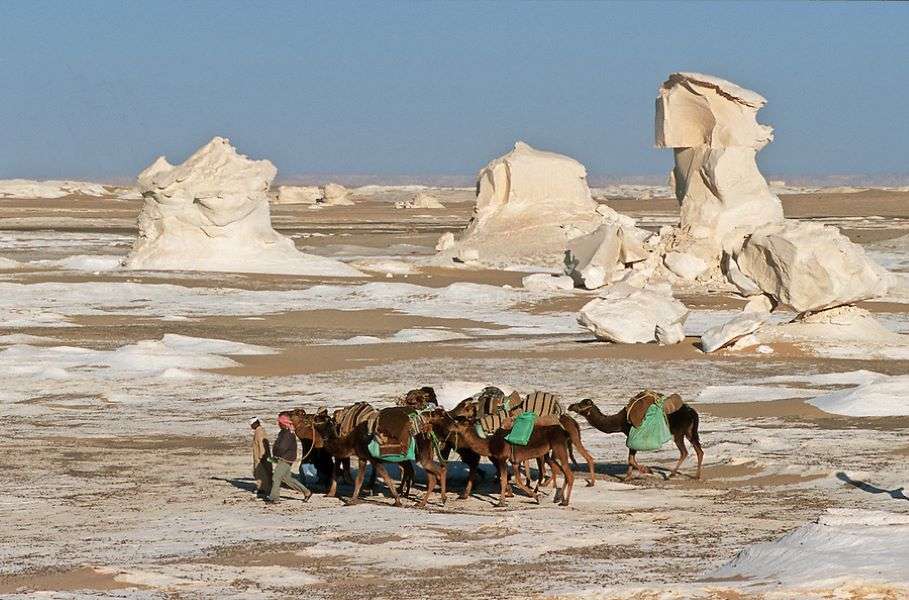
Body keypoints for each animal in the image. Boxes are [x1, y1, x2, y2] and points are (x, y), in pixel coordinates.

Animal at [442, 420, 576, 508]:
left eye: (457, 423)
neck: (489, 445)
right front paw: (535, 497)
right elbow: (517, 480)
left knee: (569, 473)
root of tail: (565, 432)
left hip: (558, 447)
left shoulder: (502, 458)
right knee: (561, 471)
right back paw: (559, 499)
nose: (448, 426)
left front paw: (500, 503)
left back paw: (565, 502)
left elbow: (504, 480)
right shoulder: (515, 461)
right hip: (550, 453)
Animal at [568, 398, 704, 482]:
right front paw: (627, 478)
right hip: (690, 431)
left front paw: (647, 470)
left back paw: (671, 475)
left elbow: (631, 459)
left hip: (679, 432)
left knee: (684, 451)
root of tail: (693, 412)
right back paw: (696, 476)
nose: (570, 406)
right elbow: (630, 459)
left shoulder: (631, 434)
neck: (620, 422)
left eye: (582, 404)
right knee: (699, 450)